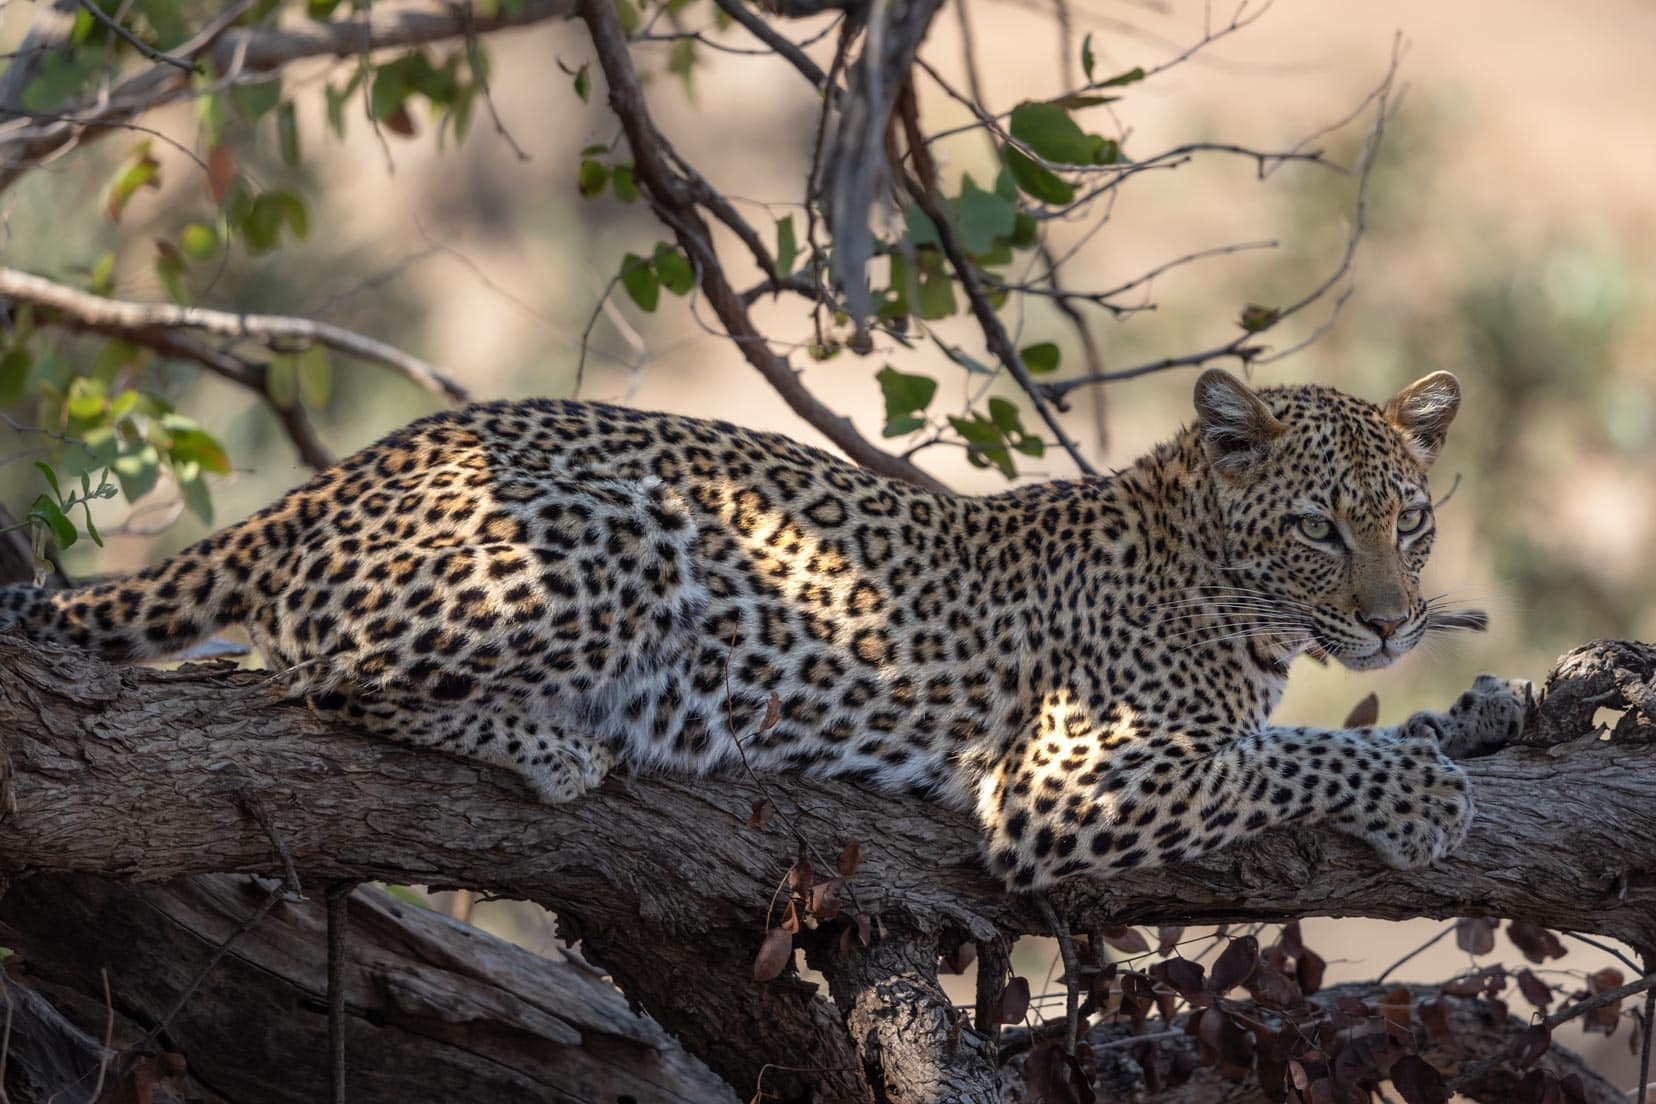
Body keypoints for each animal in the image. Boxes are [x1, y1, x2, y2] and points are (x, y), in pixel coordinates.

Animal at [0, 370, 1523, 887]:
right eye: (1319, 530)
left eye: (1410, 519)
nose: (1395, 622)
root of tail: (349, 470)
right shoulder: (1065, 786)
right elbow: (1281, 759)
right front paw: (1417, 790)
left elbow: (1305, 738)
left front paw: (1479, 711)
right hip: (614, 535)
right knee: (315, 670)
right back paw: (554, 744)